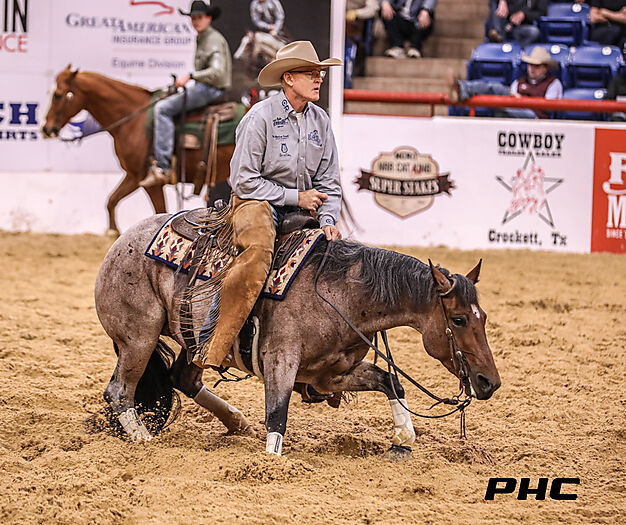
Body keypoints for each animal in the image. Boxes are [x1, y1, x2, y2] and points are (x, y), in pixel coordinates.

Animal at [41, 66, 236, 235]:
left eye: (58, 95)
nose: (46, 129)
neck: (133, 120)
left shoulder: (152, 183)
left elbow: (160, 211)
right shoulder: (134, 176)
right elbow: (111, 201)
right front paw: (113, 231)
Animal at [94, 212, 501, 456]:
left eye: (482, 317)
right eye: (459, 320)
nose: (490, 382)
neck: (341, 295)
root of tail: (119, 243)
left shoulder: (329, 374)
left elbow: (390, 380)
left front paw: (403, 437)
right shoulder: (280, 361)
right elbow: (278, 416)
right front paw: (271, 462)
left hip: (197, 341)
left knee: (183, 378)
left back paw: (237, 422)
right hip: (139, 339)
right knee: (119, 390)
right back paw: (142, 438)